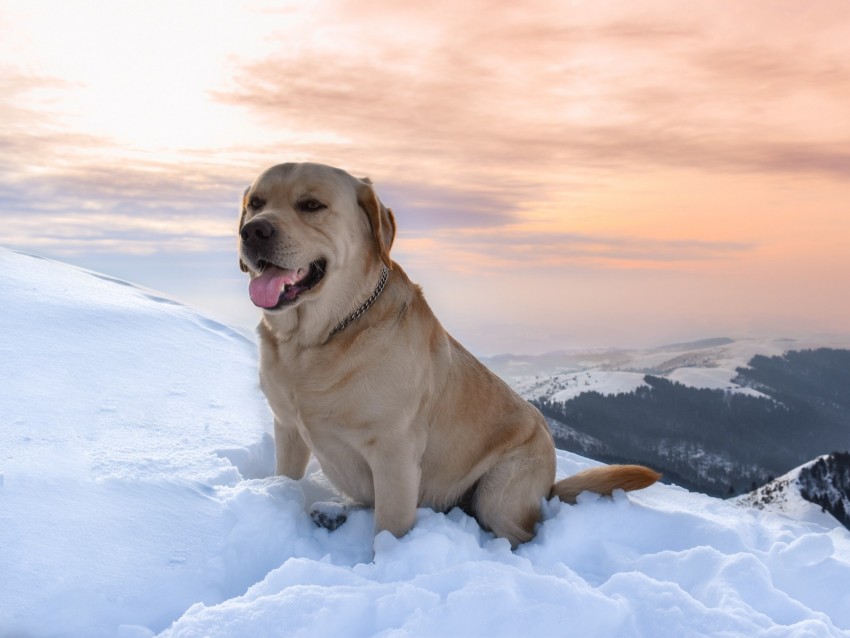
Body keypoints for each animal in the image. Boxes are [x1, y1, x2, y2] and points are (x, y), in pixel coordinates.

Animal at [235, 162, 660, 548]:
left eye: (311, 205)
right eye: (256, 203)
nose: (253, 230)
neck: (315, 340)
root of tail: (550, 482)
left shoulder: (395, 454)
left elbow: (389, 530)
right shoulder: (288, 429)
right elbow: (287, 476)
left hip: (499, 491)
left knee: (521, 533)